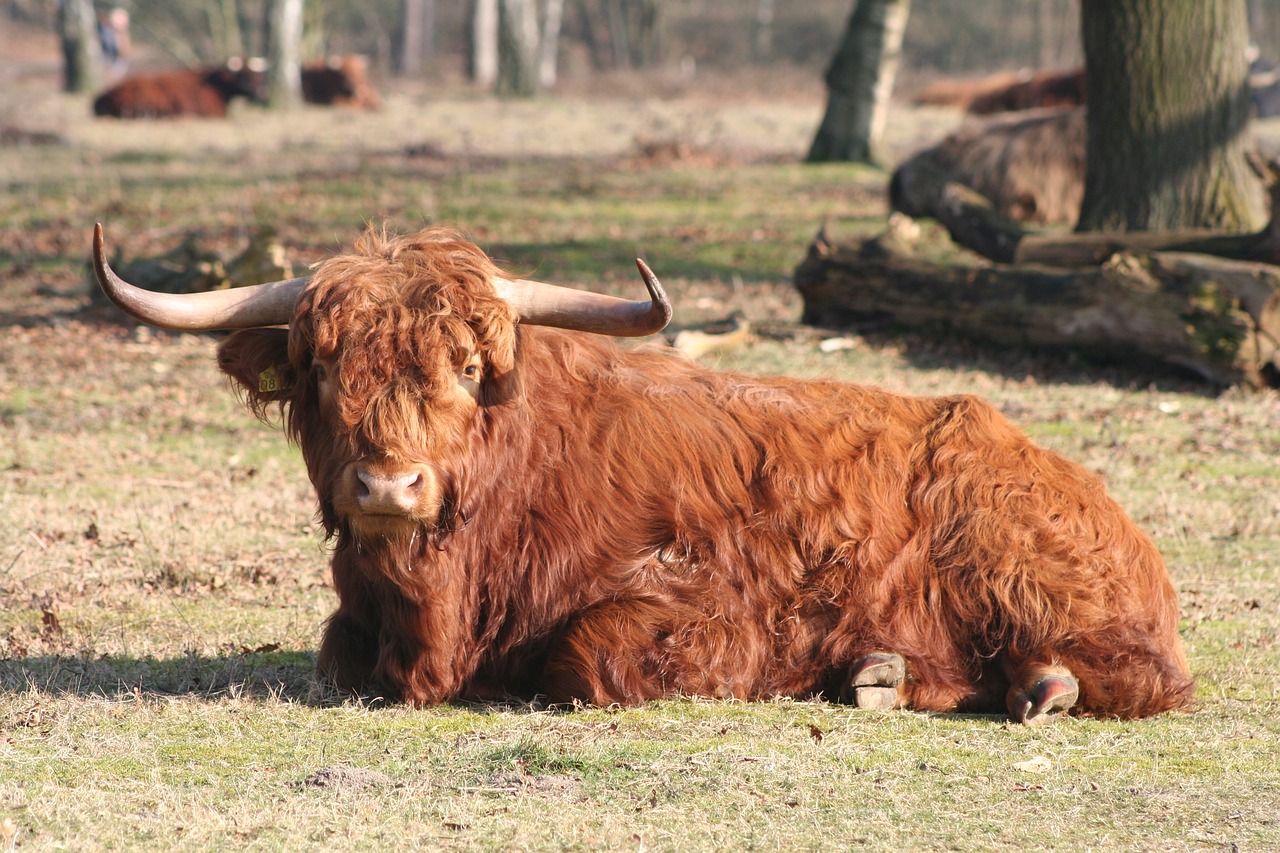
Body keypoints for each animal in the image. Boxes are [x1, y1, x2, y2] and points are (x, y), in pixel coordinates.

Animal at [92, 222, 1198, 722]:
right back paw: (880, 674)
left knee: (1139, 674)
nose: (387, 488)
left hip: (1023, 574)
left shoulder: (711, 603)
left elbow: (587, 658)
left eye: (466, 366)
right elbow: (333, 652)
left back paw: (1041, 683)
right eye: (323, 369)